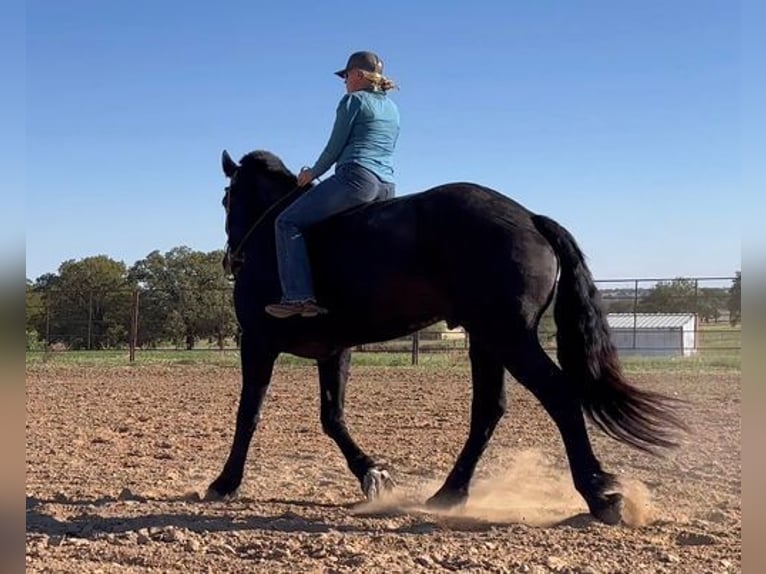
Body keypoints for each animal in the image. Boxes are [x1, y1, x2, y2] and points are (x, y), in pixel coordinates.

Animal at [208, 150, 684, 528]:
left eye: (226, 198)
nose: (232, 260)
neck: (271, 235)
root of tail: (530, 218)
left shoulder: (257, 344)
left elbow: (248, 414)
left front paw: (224, 483)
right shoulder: (335, 349)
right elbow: (332, 417)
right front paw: (373, 474)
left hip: (508, 337)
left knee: (559, 396)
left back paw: (600, 496)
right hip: (488, 339)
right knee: (489, 409)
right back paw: (449, 494)